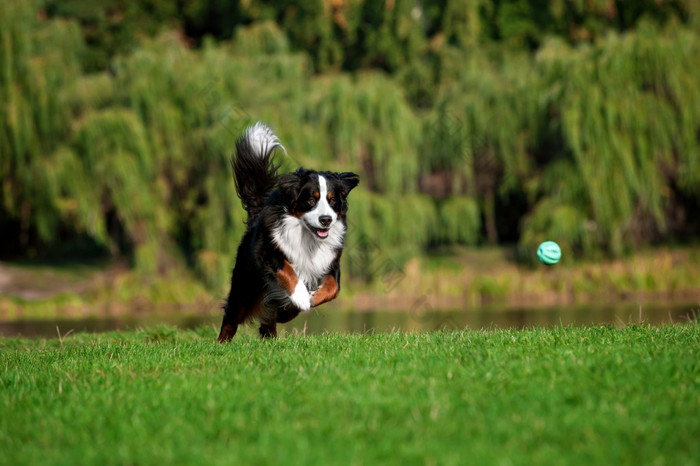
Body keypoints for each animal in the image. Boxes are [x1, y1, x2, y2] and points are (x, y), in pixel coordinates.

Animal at [217, 123, 360, 342]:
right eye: (311, 199)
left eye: (332, 200)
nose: (326, 220)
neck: (308, 238)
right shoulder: (267, 252)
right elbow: (288, 271)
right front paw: (301, 297)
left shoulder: (330, 262)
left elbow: (333, 288)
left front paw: (310, 298)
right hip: (245, 285)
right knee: (231, 317)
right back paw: (222, 343)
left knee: (269, 318)